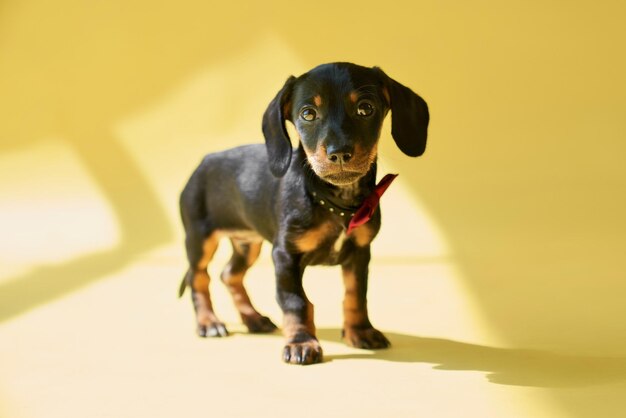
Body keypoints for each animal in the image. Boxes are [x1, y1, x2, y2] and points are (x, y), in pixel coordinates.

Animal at [178, 60, 426, 364]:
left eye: (366, 108)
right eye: (308, 114)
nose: (339, 153)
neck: (334, 203)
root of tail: (203, 162)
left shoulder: (360, 253)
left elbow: (356, 295)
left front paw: (360, 331)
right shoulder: (285, 255)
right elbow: (296, 302)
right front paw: (301, 342)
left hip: (248, 243)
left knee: (230, 275)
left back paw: (253, 318)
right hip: (199, 238)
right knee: (199, 277)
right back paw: (208, 322)